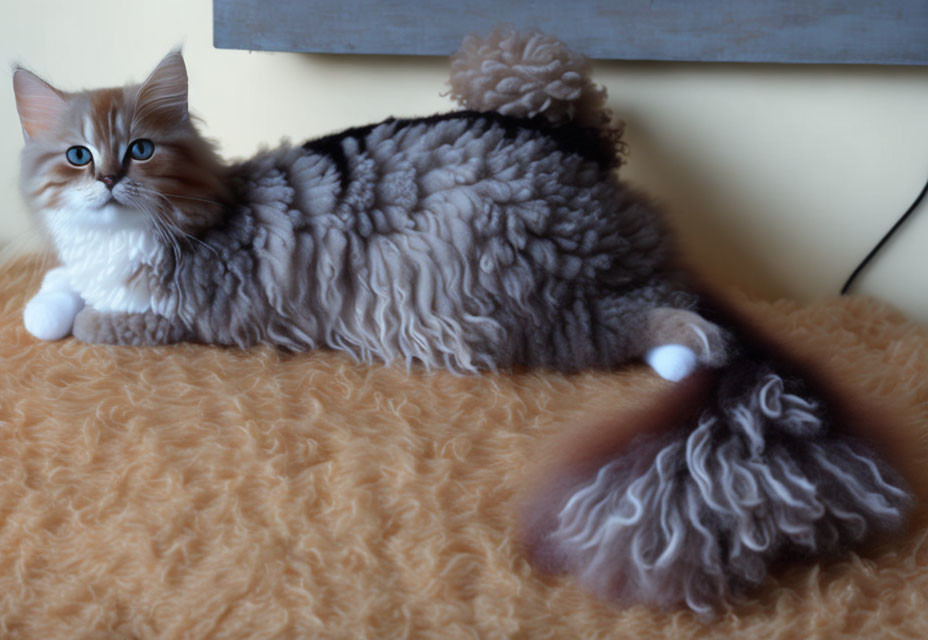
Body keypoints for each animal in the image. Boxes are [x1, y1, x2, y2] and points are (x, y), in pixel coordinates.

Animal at [14, 27, 908, 612]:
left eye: (139, 150)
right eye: (77, 158)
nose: (107, 184)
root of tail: (564, 143)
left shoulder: (185, 310)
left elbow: (94, 318)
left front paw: (61, 315)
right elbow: (60, 281)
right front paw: (45, 298)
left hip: (510, 297)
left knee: (671, 323)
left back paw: (683, 357)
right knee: (676, 308)